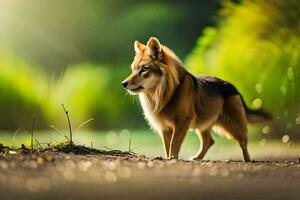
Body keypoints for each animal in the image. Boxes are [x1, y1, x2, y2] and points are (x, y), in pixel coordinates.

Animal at [122, 36, 272, 162]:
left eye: (144, 69)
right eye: (133, 69)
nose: (123, 83)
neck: (167, 92)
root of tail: (233, 87)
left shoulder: (182, 122)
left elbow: (174, 144)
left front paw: (172, 158)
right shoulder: (165, 128)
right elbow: (167, 145)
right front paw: (167, 157)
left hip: (233, 124)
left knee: (243, 141)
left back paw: (247, 160)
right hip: (203, 122)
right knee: (209, 141)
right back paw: (197, 158)